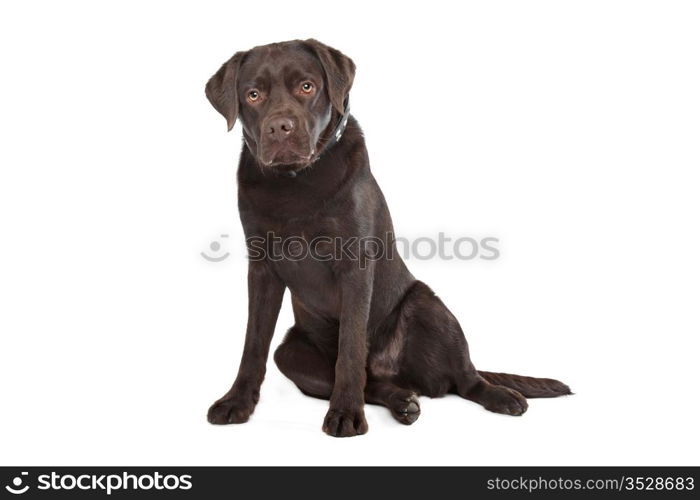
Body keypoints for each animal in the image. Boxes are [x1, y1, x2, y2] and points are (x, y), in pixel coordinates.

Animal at [205, 40, 572, 438]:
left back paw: (499, 396)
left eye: (307, 87)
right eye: (253, 95)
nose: (279, 127)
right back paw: (403, 402)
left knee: (465, 378)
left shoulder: (354, 265)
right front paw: (236, 402)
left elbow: (350, 349)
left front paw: (345, 414)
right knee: (375, 384)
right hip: (291, 353)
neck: (295, 181)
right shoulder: (261, 269)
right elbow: (253, 344)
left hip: (428, 306)